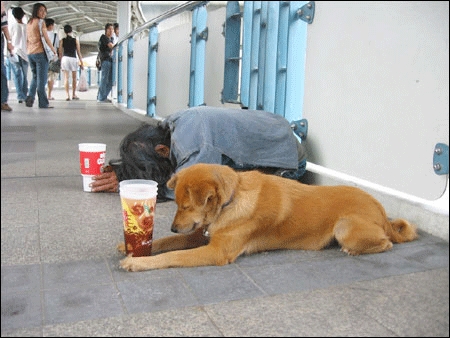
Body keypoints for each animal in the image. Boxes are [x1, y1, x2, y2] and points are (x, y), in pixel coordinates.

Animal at [118, 162, 416, 270]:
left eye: (187, 206)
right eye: (177, 204)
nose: (172, 226)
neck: (232, 200)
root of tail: (382, 211)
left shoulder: (216, 252)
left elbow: (173, 256)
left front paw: (138, 263)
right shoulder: (200, 236)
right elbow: (166, 243)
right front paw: (133, 247)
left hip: (345, 227)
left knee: (386, 243)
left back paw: (357, 250)